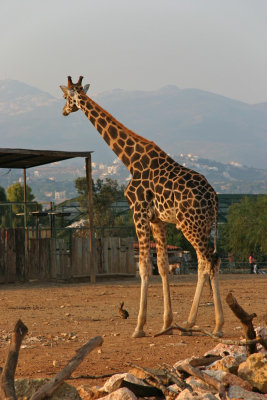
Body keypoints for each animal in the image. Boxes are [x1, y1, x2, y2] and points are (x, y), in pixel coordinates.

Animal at [60, 76, 224, 338]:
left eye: (66, 97)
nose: (64, 111)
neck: (130, 161)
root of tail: (215, 198)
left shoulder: (138, 212)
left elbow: (144, 267)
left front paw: (139, 327)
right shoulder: (157, 219)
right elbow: (163, 266)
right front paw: (166, 324)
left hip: (191, 224)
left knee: (210, 261)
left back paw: (215, 325)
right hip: (203, 225)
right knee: (204, 262)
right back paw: (190, 322)